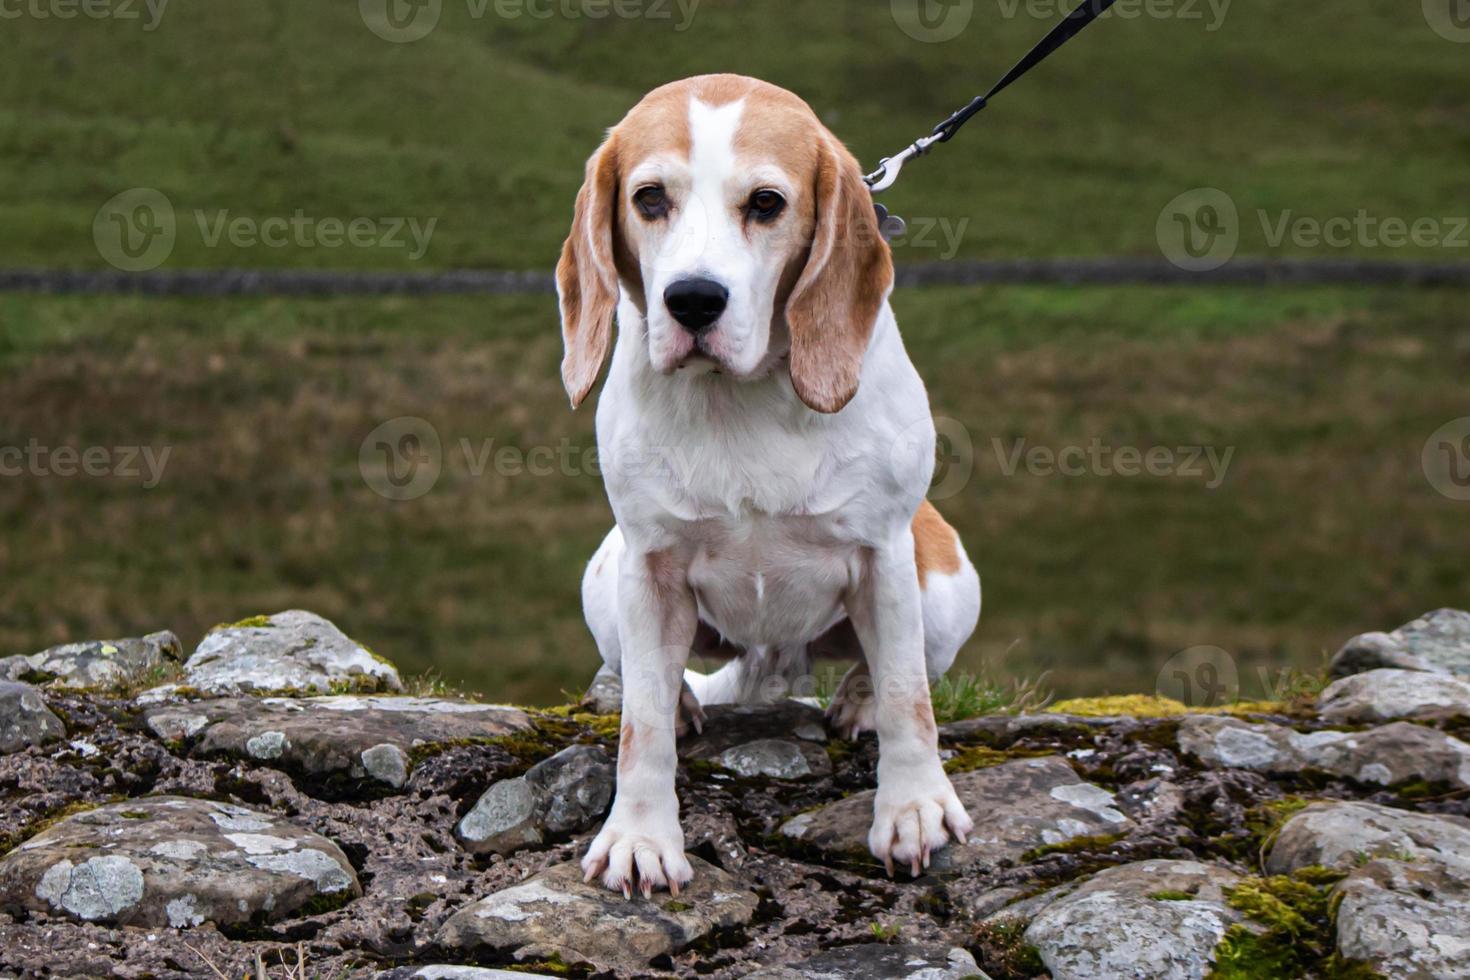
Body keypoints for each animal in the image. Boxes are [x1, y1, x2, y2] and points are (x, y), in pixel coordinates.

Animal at [555, 72, 981, 893]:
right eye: (648, 198)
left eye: (766, 203)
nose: (693, 300)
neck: (739, 397)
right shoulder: (648, 566)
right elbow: (640, 727)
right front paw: (640, 835)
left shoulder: (884, 554)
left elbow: (909, 696)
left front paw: (913, 807)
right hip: (602, 572)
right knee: (645, 680)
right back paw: (687, 702)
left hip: (946, 579)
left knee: (898, 668)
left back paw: (857, 703)